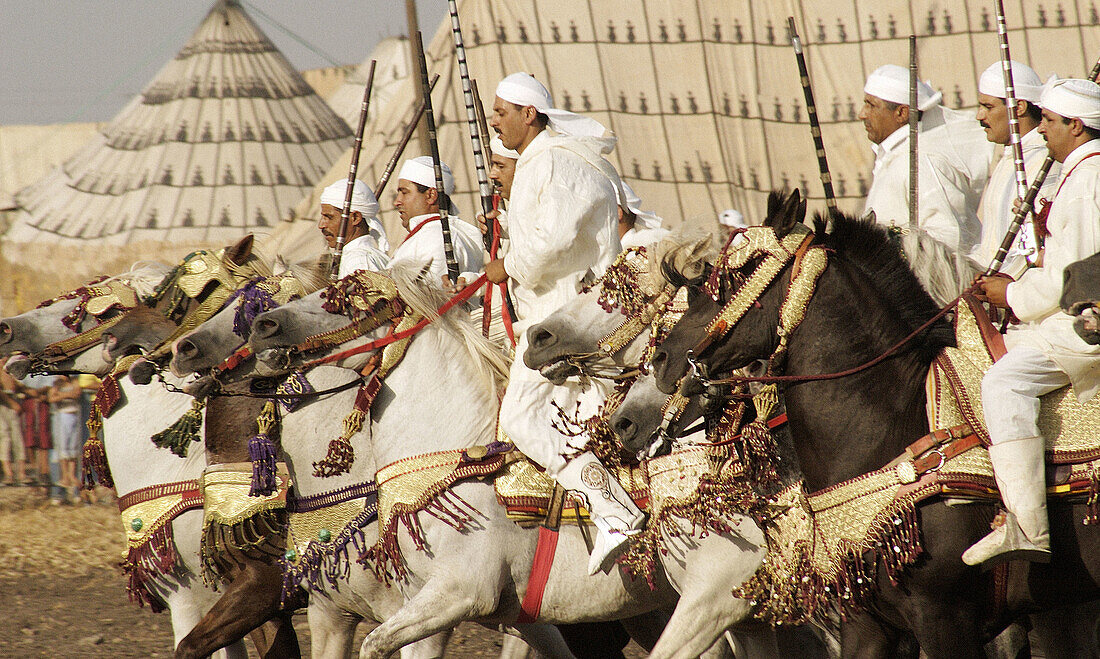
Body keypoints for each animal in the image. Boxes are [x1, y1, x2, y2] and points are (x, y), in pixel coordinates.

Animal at [240, 262, 774, 659]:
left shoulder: (455, 595)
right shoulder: (509, 615)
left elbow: (376, 644)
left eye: (356, 300)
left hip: (714, 598)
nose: (263, 326)